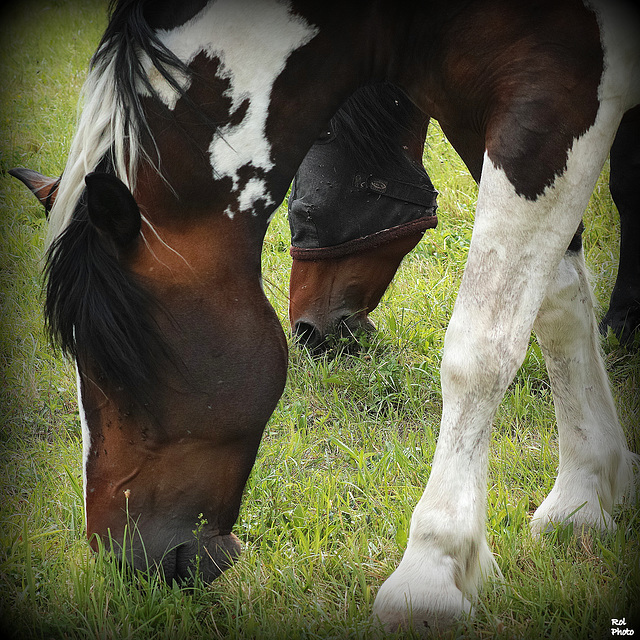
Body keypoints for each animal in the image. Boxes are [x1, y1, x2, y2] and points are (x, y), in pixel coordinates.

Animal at [10, 0, 640, 632]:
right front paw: (585, 496)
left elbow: (481, 348)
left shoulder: (554, 100)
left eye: (117, 366)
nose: (125, 562)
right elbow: (557, 305)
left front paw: (431, 571)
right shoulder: (485, 111)